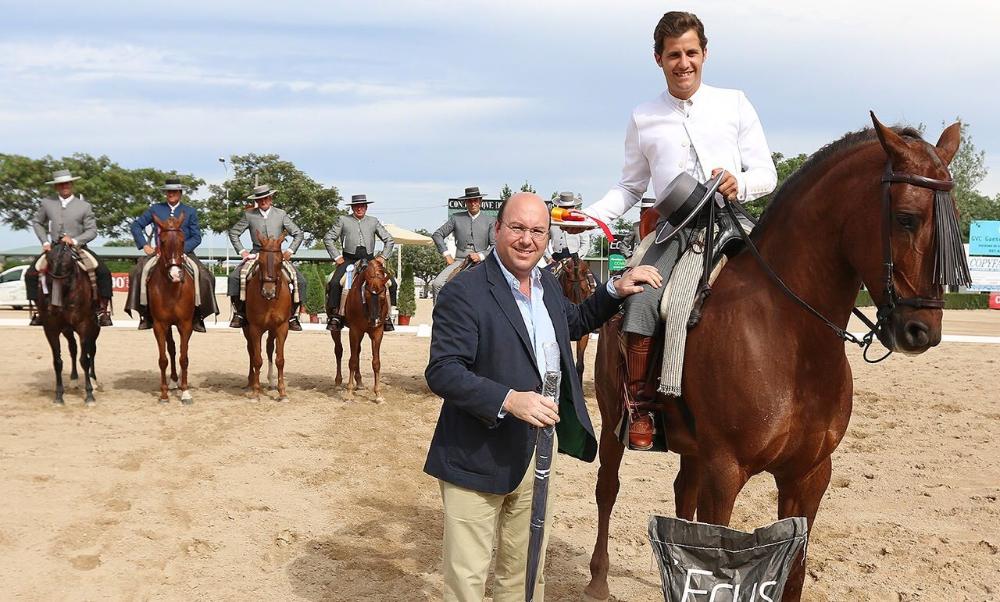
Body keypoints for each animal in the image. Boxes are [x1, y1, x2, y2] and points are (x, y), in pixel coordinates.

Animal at [36, 239, 100, 404]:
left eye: (68, 264)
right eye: (49, 262)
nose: (53, 305)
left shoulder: (84, 325)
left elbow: (85, 360)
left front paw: (89, 395)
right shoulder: (51, 329)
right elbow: (57, 362)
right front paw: (59, 396)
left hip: (94, 328)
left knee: (92, 350)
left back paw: (94, 381)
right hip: (67, 330)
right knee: (73, 348)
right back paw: (74, 380)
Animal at [146, 213, 197, 406]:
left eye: (183, 241)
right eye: (162, 241)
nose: (176, 275)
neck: (172, 289)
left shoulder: (185, 324)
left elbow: (184, 358)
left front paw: (186, 393)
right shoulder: (160, 325)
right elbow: (163, 359)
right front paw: (164, 395)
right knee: (172, 349)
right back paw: (174, 381)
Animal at [243, 232, 292, 400]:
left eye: (280, 262)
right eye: (260, 261)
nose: (268, 292)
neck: (269, 302)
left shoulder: (282, 327)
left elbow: (280, 359)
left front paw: (282, 392)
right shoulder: (255, 328)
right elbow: (257, 359)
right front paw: (256, 392)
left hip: (271, 329)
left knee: (270, 348)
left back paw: (271, 381)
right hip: (247, 329)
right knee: (251, 351)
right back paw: (251, 382)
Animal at [332, 255, 386, 400]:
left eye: (383, 297)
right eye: (366, 295)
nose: (374, 320)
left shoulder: (377, 332)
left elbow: (376, 362)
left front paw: (378, 394)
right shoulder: (355, 331)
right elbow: (353, 360)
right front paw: (349, 392)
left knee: (357, 351)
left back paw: (360, 382)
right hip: (336, 329)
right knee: (339, 351)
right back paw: (338, 382)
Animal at [584, 115, 968, 596]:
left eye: (954, 220)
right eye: (907, 219)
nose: (922, 331)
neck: (792, 341)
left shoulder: (809, 475)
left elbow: (795, 573)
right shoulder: (725, 472)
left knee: (681, 496)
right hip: (615, 420)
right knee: (607, 488)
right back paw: (598, 579)